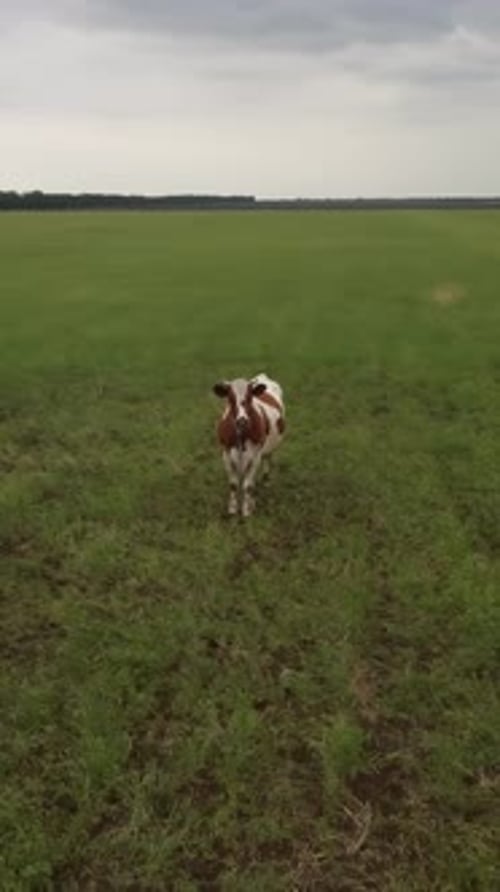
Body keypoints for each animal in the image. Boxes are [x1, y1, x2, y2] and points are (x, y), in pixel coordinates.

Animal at [213, 373, 285, 517]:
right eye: (230, 398)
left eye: (250, 396)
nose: (242, 420)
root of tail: (262, 376)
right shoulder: (226, 454)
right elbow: (233, 484)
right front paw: (233, 509)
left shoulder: (255, 456)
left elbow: (247, 485)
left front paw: (246, 510)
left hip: (268, 449)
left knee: (266, 461)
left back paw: (265, 483)